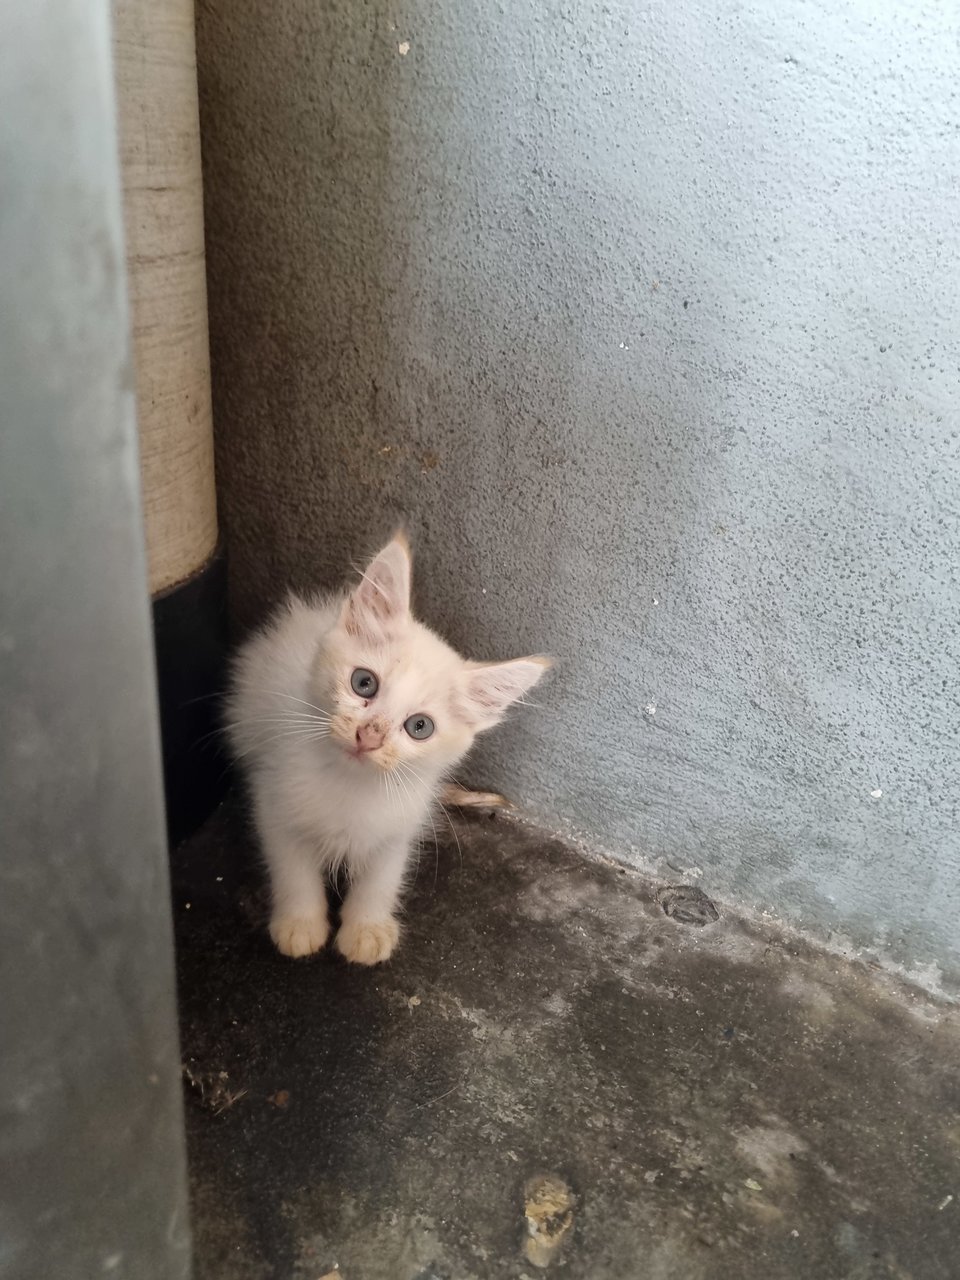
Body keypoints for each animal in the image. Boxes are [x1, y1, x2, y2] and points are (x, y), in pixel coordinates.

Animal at [225, 529, 552, 962]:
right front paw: (300, 923)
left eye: (419, 727)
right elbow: (293, 869)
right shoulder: (274, 802)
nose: (370, 736)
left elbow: (383, 876)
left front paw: (367, 928)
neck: (351, 784)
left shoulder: (399, 824)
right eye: (364, 683)